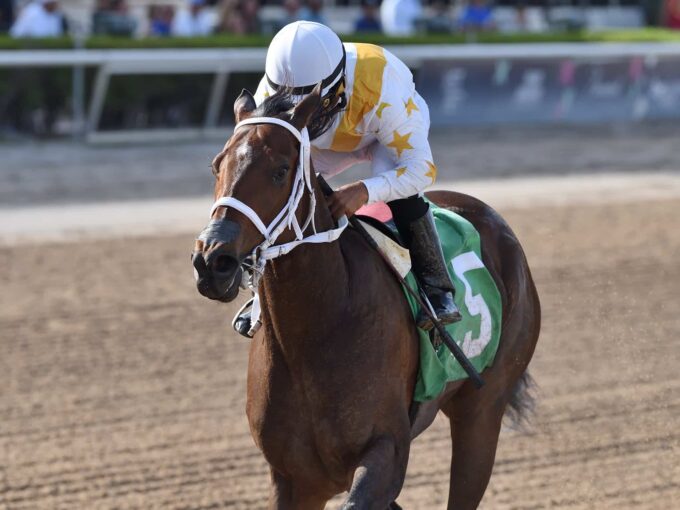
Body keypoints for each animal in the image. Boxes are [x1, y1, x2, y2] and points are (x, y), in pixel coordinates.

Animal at [193, 85, 540, 508]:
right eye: (217, 166)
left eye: (280, 170)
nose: (213, 261)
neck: (314, 332)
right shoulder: (296, 477)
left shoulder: (386, 451)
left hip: (483, 409)